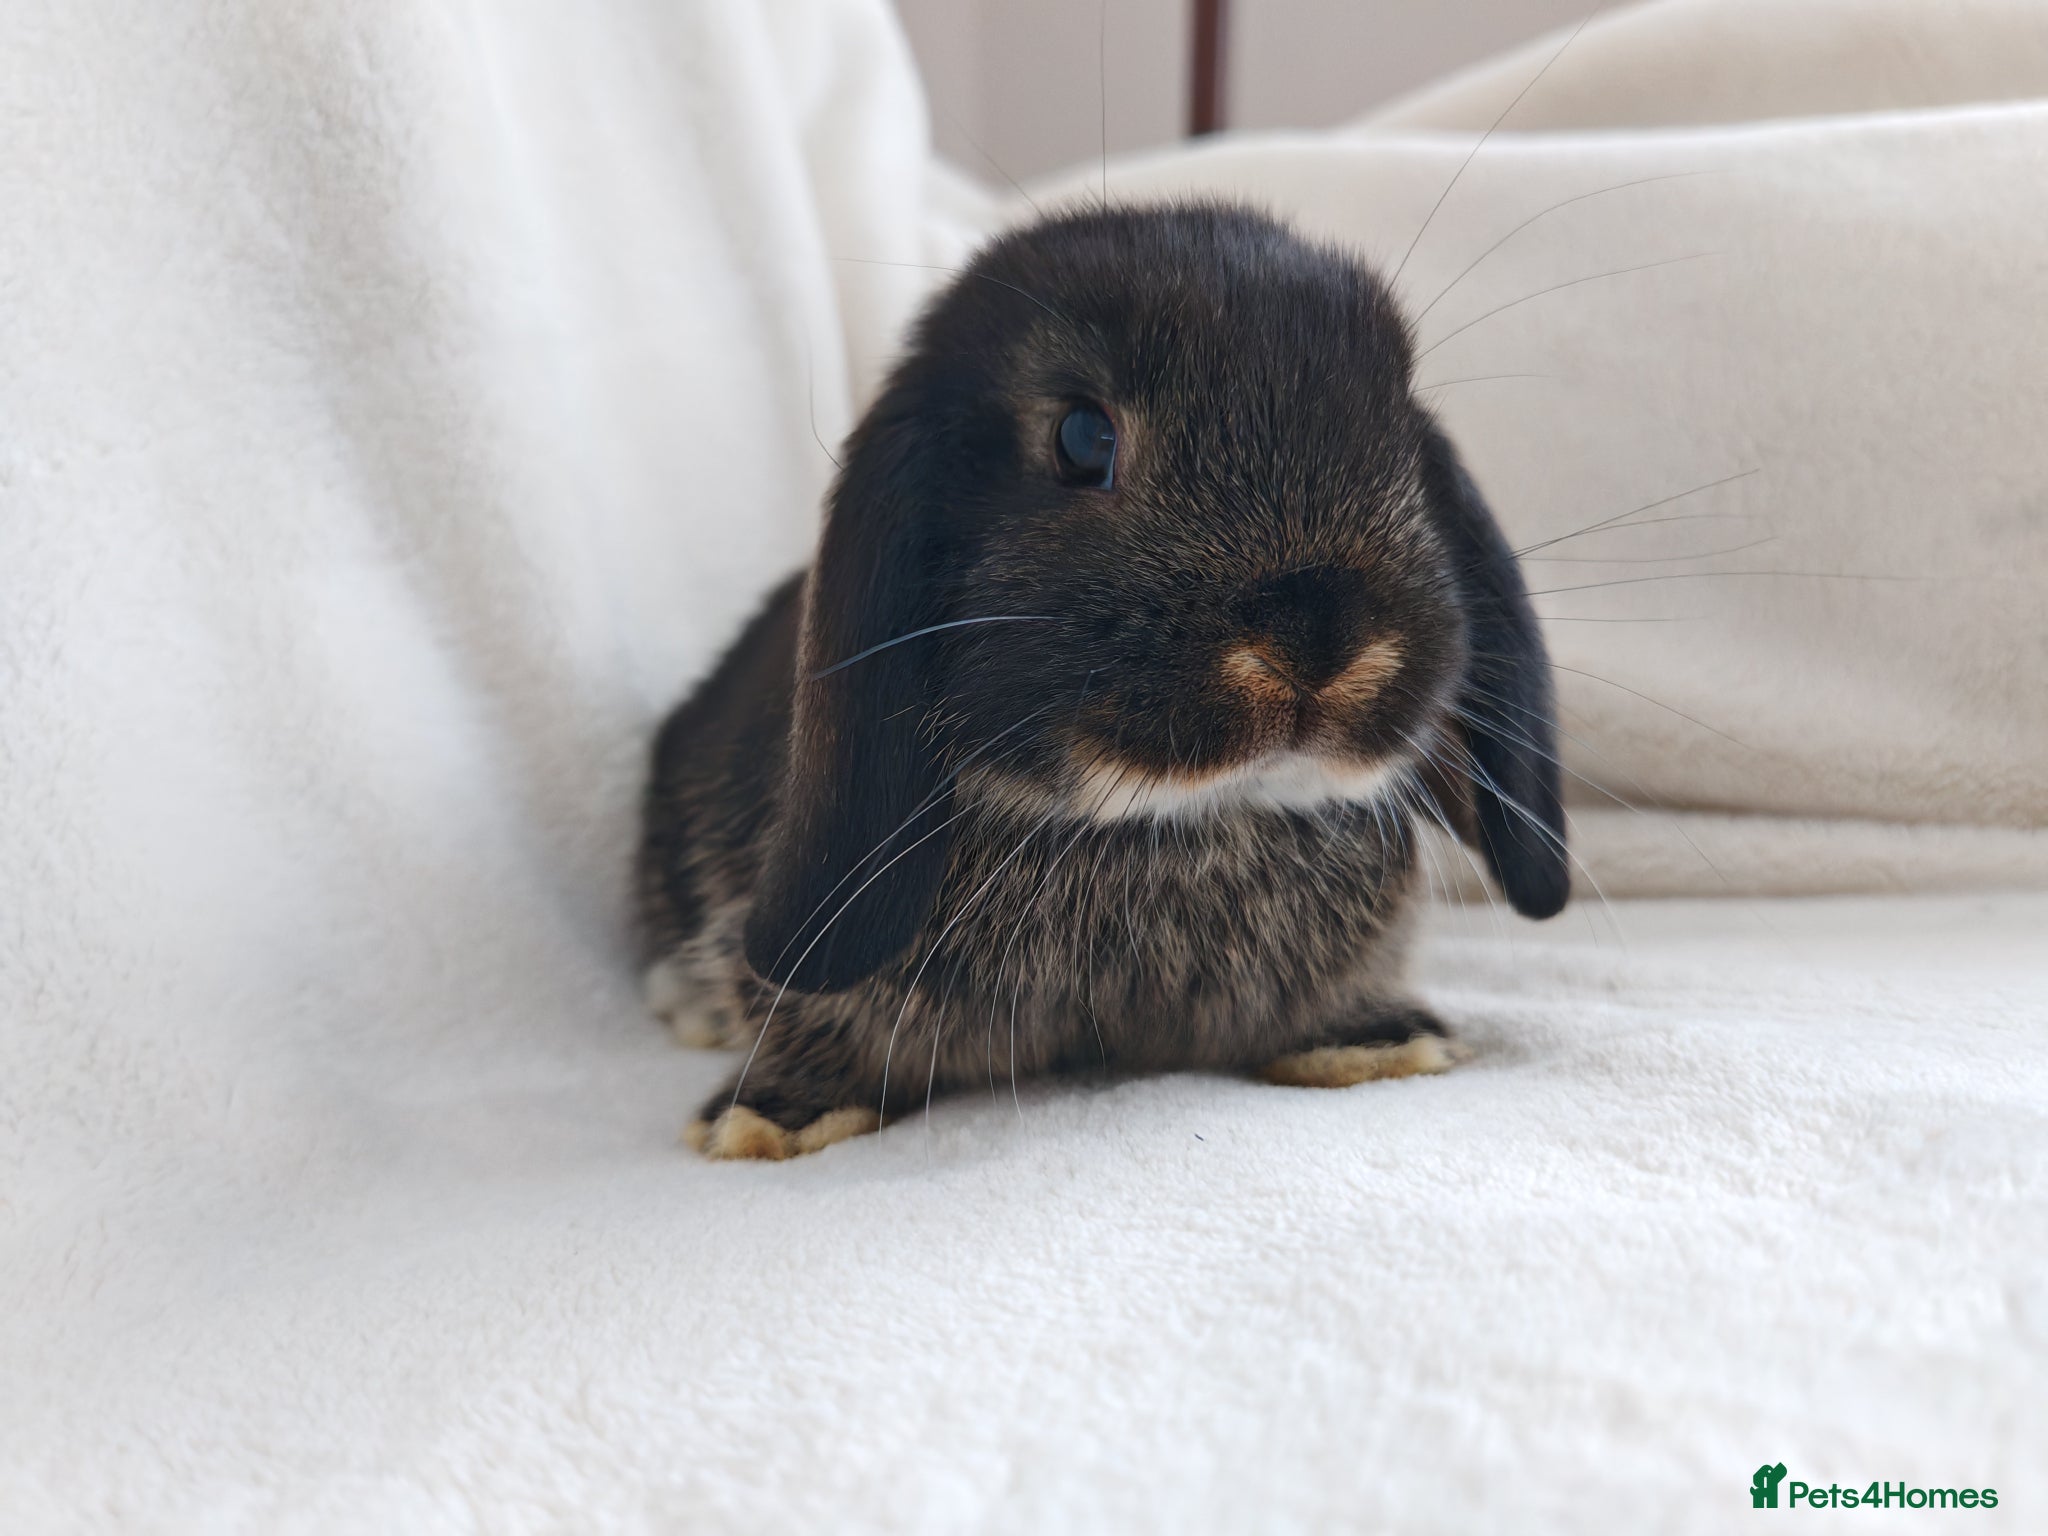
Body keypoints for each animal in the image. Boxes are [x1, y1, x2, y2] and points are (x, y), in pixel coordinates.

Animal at [636, 202, 1568, 1160]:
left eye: (1400, 442)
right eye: (1083, 439)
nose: (1321, 638)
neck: (1168, 823)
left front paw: (1377, 1043)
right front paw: (771, 1119)